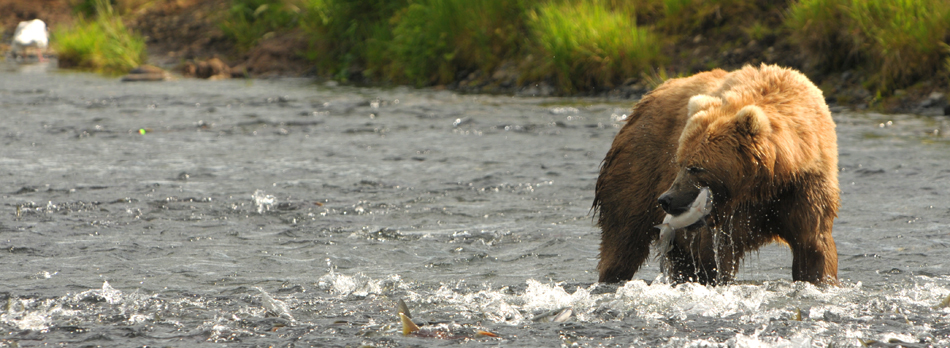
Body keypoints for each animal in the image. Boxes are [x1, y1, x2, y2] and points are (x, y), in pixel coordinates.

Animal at [596, 64, 840, 286]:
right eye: (680, 162)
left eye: (695, 167)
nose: (666, 199)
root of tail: (643, 101)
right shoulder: (724, 219)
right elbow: (711, 256)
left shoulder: (803, 187)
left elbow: (813, 246)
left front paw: (820, 280)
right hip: (638, 167)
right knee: (623, 236)